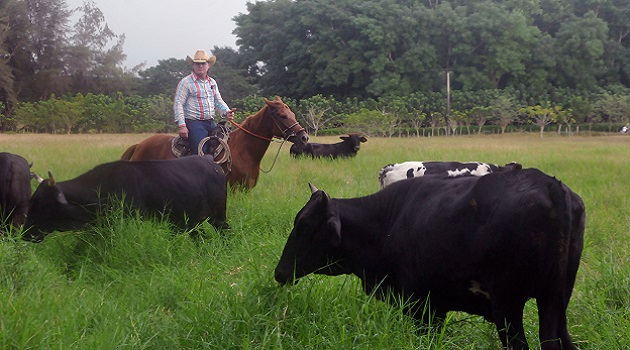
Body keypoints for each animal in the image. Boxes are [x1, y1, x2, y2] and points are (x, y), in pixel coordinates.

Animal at [22, 157, 230, 242]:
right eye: (31, 202)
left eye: (43, 205)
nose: (25, 234)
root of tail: (213, 164)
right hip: (190, 223)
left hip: (218, 217)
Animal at [120, 97, 308, 190]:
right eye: (282, 116)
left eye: (292, 113)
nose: (304, 137)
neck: (244, 151)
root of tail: (139, 145)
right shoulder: (234, 189)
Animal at [276, 168, 588, 348]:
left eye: (304, 227)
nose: (279, 272)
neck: (387, 222)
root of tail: (551, 185)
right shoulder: (436, 307)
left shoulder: (422, 306)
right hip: (555, 303)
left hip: (508, 305)